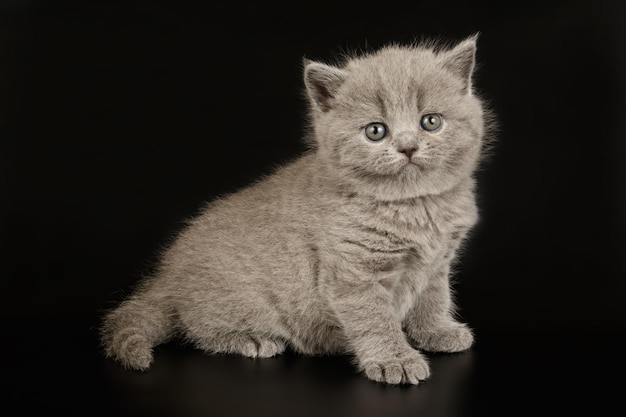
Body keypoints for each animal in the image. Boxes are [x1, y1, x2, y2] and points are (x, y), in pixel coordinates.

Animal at [100, 35, 490, 384]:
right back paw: (251, 339)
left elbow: (433, 298)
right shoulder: (353, 273)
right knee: (199, 328)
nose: (408, 147)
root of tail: (167, 276)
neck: (417, 207)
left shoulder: (437, 263)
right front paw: (395, 360)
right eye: (375, 131)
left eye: (430, 121)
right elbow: (374, 318)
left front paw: (437, 332)